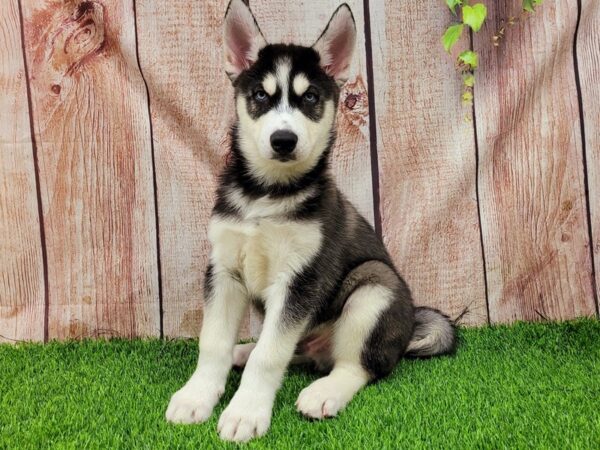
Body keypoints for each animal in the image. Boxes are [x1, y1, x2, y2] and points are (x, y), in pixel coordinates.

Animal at [165, 0, 454, 442]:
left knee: (355, 366)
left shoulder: (300, 278)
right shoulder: (224, 269)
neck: (267, 194)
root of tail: (407, 327)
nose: (283, 140)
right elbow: (212, 343)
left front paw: (245, 412)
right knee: (292, 351)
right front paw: (197, 396)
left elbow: (270, 356)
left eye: (311, 97)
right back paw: (242, 350)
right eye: (260, 95)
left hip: (374, 287)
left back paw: (324, 392)